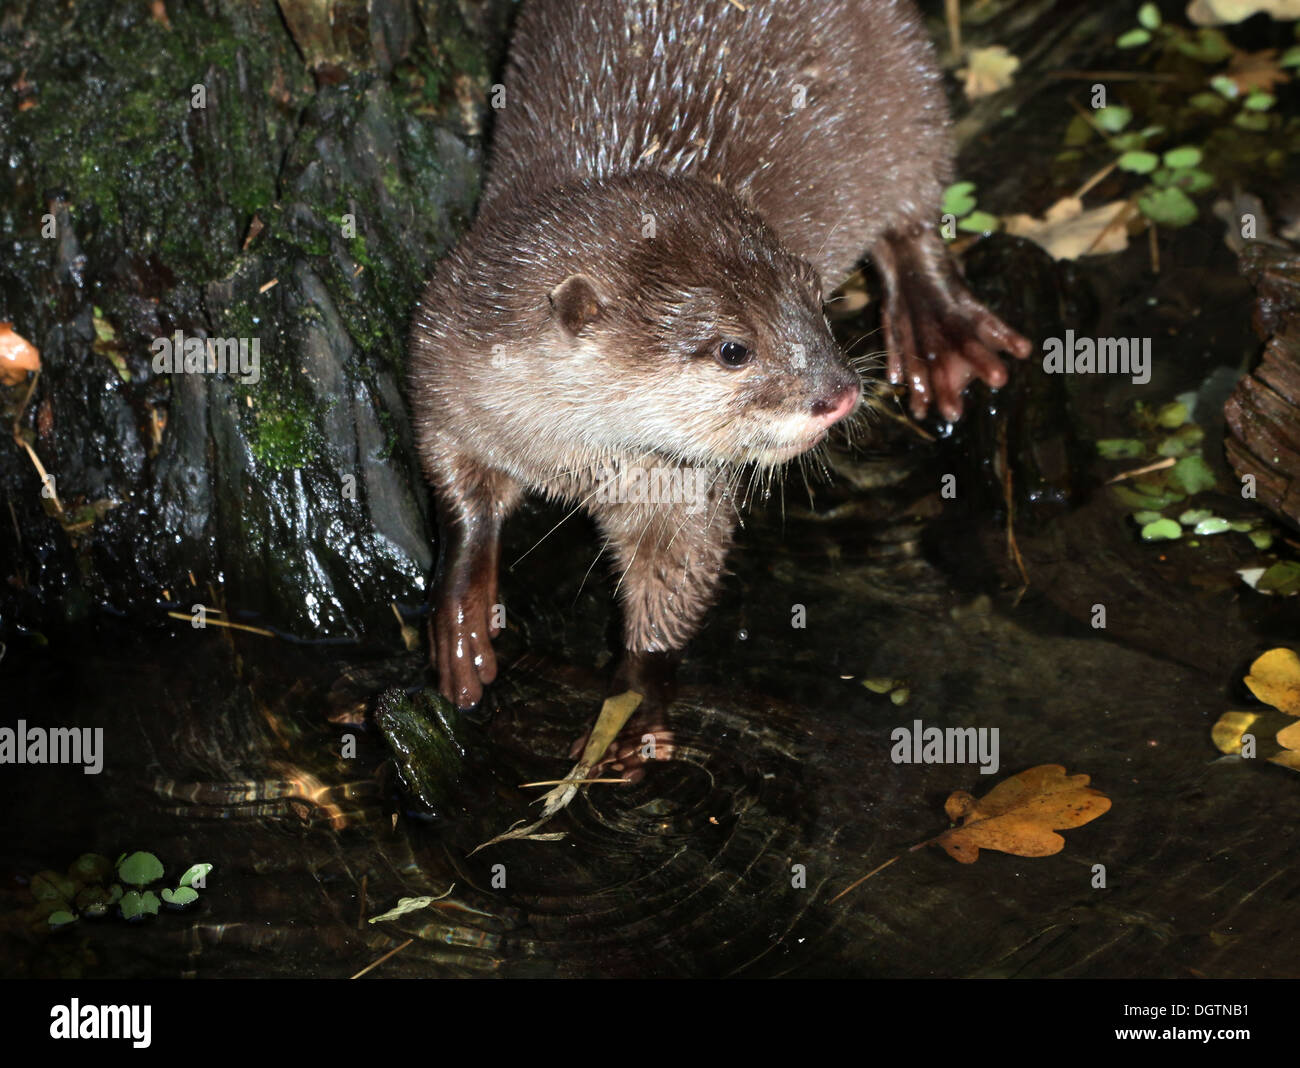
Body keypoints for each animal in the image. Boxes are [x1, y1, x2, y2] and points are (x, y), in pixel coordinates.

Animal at [410, 4, 1029, 717]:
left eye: (813, 296)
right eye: (734, 349)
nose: (839, 393)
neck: (561, 452)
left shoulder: (676, 480)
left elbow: (677, 571)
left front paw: (633, 708)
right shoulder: (443, 363)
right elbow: (455, 484)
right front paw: (461, 620)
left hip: (907, 84)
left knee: (917, 210)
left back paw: (941, 333)